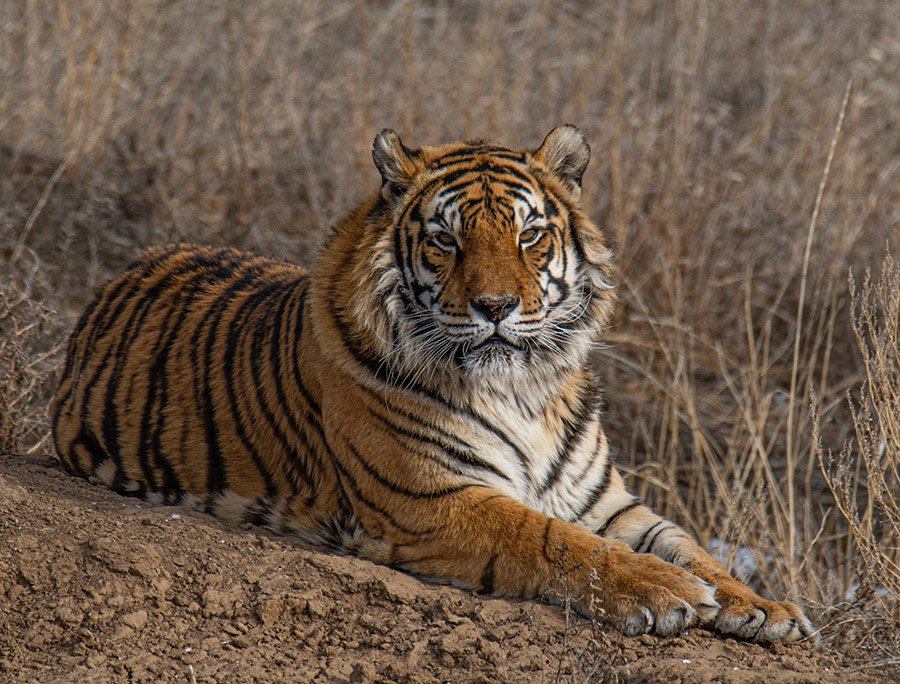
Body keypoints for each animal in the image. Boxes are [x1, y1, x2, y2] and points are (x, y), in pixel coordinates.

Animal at [52, 125, 814, 643]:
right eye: (447, 240)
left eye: (529, 235)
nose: (496, 306)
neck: (524, 390)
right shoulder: (434, 499)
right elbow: (557, 542)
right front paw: (665, 591)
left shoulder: (608, 504)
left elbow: (689, 543)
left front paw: (763, 606)